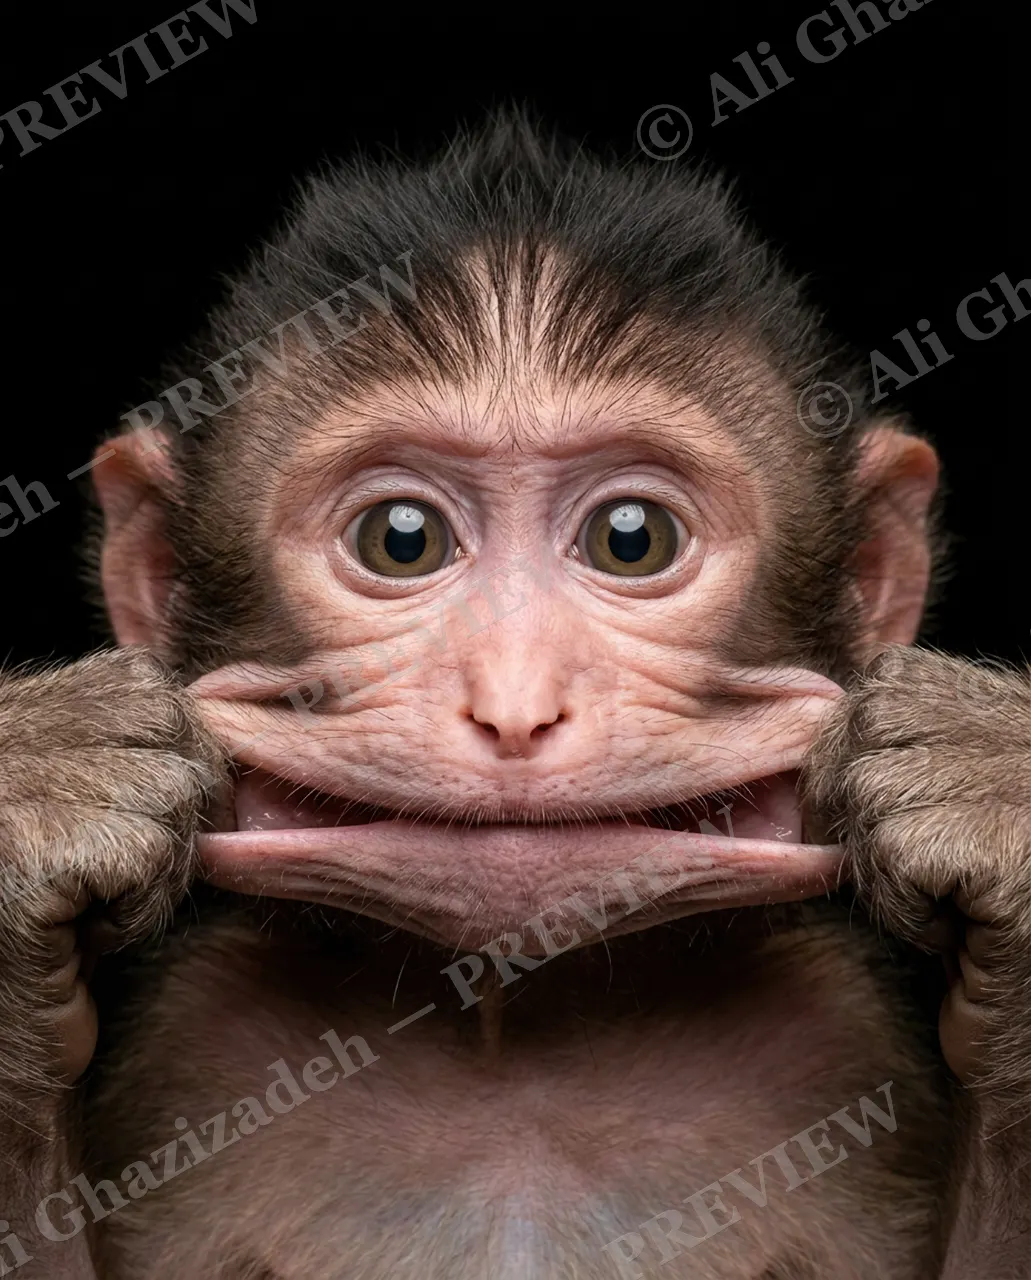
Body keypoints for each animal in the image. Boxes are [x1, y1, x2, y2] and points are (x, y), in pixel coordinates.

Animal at [0, 110, 1027, 1279]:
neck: (513, 1038)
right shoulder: (195, 1041)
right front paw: (42, 788)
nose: (514, 703)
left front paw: (989, 784)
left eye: (631, 538)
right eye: (400, 539)